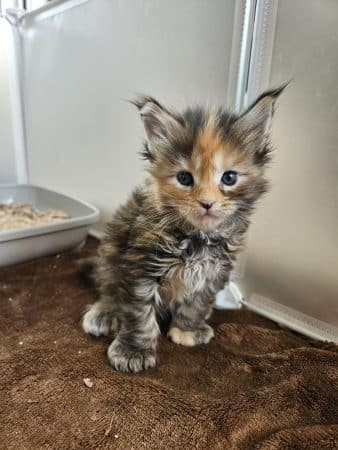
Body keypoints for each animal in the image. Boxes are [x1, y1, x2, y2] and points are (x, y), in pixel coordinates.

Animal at [80, 88, 284, 372]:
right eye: (185, 178)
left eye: (229, 178)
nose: (207, 203)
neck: (197, 238)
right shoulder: (140, 267)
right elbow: (138, 314)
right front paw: (133, 350)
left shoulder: (215, 271)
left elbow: (198, 303)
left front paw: (188, 329)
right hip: (111, 252)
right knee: (108, 287)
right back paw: (105, 313)